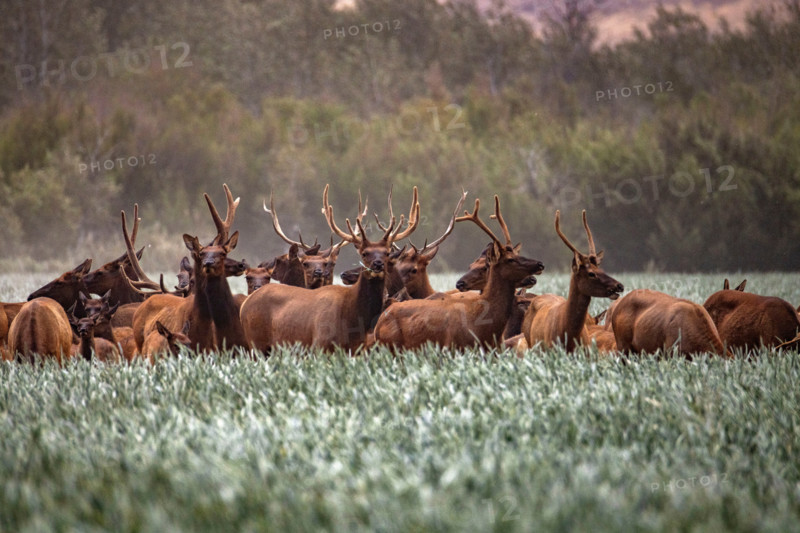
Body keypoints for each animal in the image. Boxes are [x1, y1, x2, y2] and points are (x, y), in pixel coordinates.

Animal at [240, 184, 420, 352]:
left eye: (387, 253)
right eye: (364, 253)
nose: (378, 264)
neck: (352, 319)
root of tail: (244, 305)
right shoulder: (320, 344)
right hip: (256, 343)